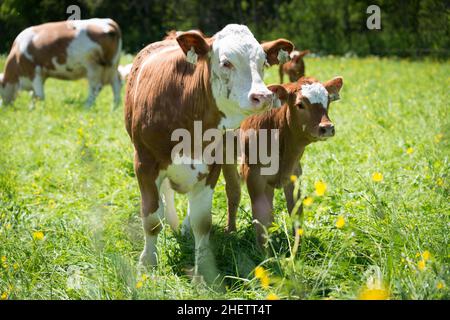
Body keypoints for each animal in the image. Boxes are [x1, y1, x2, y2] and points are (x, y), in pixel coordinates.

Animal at [125, 25, 294, 284]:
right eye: (226, 63)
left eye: (263, 62)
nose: (263, 96)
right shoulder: (145, 163)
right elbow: (152, 219)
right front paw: (147, 264)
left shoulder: (212, 166)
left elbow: (202, 222)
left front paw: (203, 273)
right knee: (166, 196)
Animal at [223, 75, 342, 245]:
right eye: (300, 104)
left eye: (328, 101)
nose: (327, 127)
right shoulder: (253, 174)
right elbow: (259, 213)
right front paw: (264, 250)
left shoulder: (294, 173)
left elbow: (295, 210)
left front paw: (299, 245)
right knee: (233, 192)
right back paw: (231, 230)